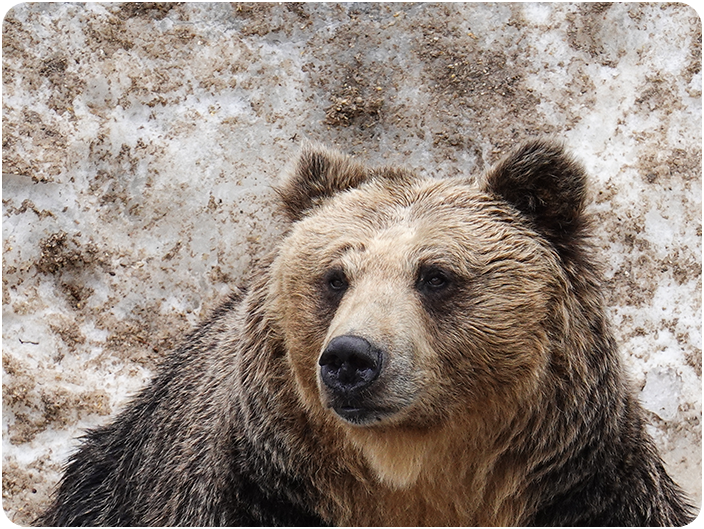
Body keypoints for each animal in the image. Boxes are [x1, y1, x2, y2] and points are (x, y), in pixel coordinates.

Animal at [37, 139, 692, 524]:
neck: (411, 471)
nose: (351, 358)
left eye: (435, 275)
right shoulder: (253, 496)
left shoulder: (586, 491)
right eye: (335, 277)